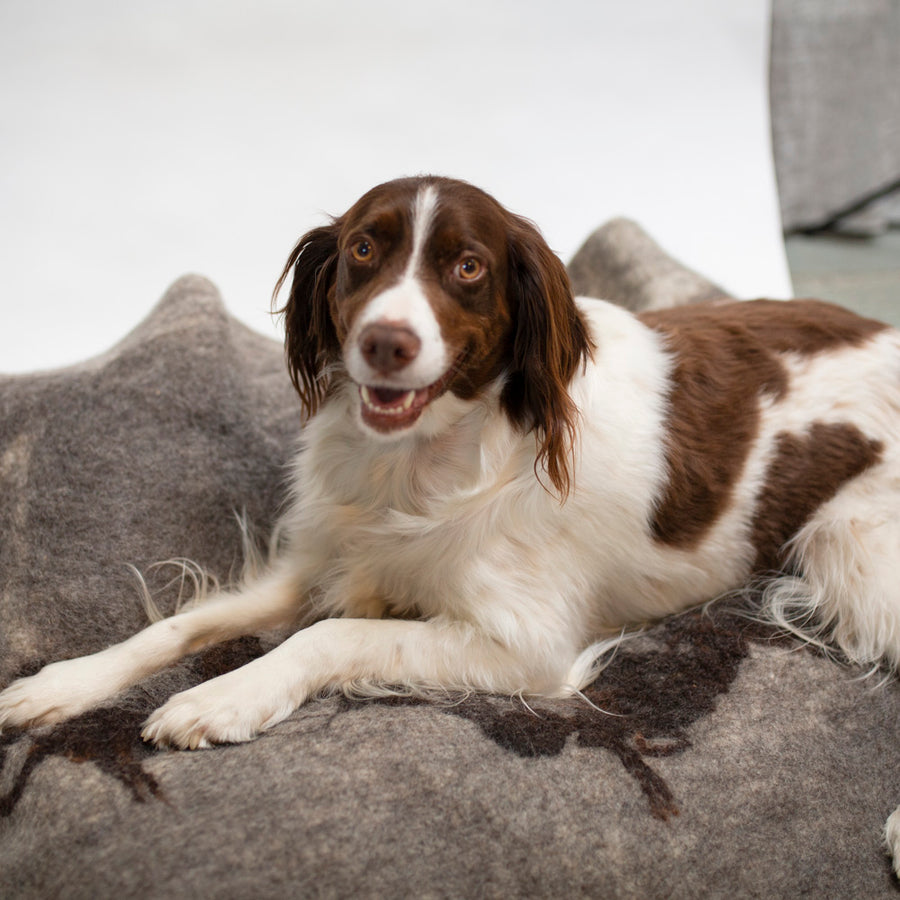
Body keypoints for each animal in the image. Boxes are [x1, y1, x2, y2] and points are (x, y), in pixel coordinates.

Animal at [1, 174, 900, 864]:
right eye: (364, 250)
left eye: (468, 266)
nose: (386, 343)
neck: (422, 465)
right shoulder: (324, 562)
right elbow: (176, 627)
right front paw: (60, 684)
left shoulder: (528, 648)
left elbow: (329, 636)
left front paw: (221, 697)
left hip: (857, 551)